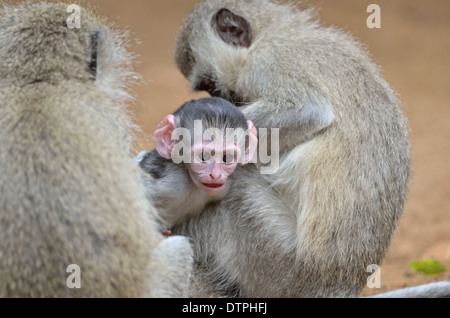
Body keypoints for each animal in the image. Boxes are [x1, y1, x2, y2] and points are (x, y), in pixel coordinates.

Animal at [174, 0, 414, 298]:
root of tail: (341, 284)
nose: (223, 103)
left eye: (210, 86)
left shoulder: (267, 61)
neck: (273, 31)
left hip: (281, 264)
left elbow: (308, 110)